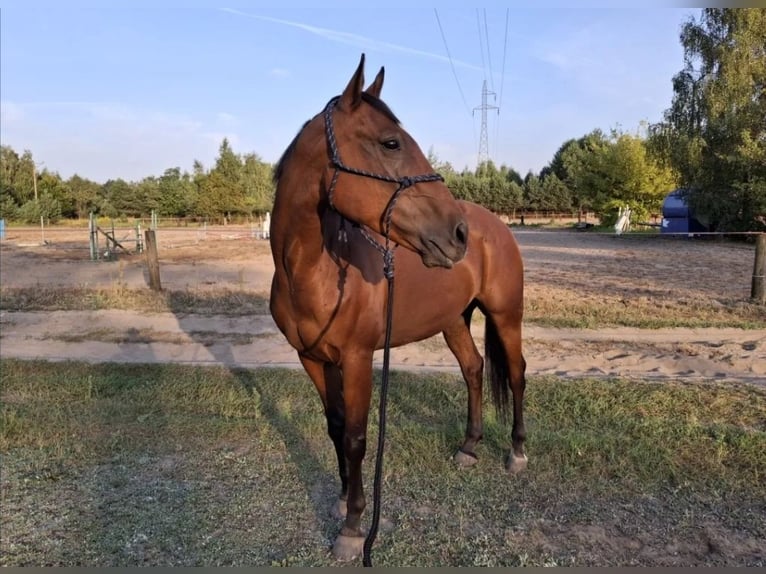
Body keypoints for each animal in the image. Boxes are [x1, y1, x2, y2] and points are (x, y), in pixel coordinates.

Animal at [270, 55, 528, 564]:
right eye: (391, 143)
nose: (457, 234)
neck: (316, 271)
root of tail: (495, 225)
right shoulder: (312, 358)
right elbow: (334, 428)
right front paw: (342, 500)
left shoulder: (357, 358)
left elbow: (356, 437)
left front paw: (354, 528)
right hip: (454, 321)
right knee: (473, 369)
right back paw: (469, 447)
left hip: (507, 315)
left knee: (516, 373)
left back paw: (517, 452)